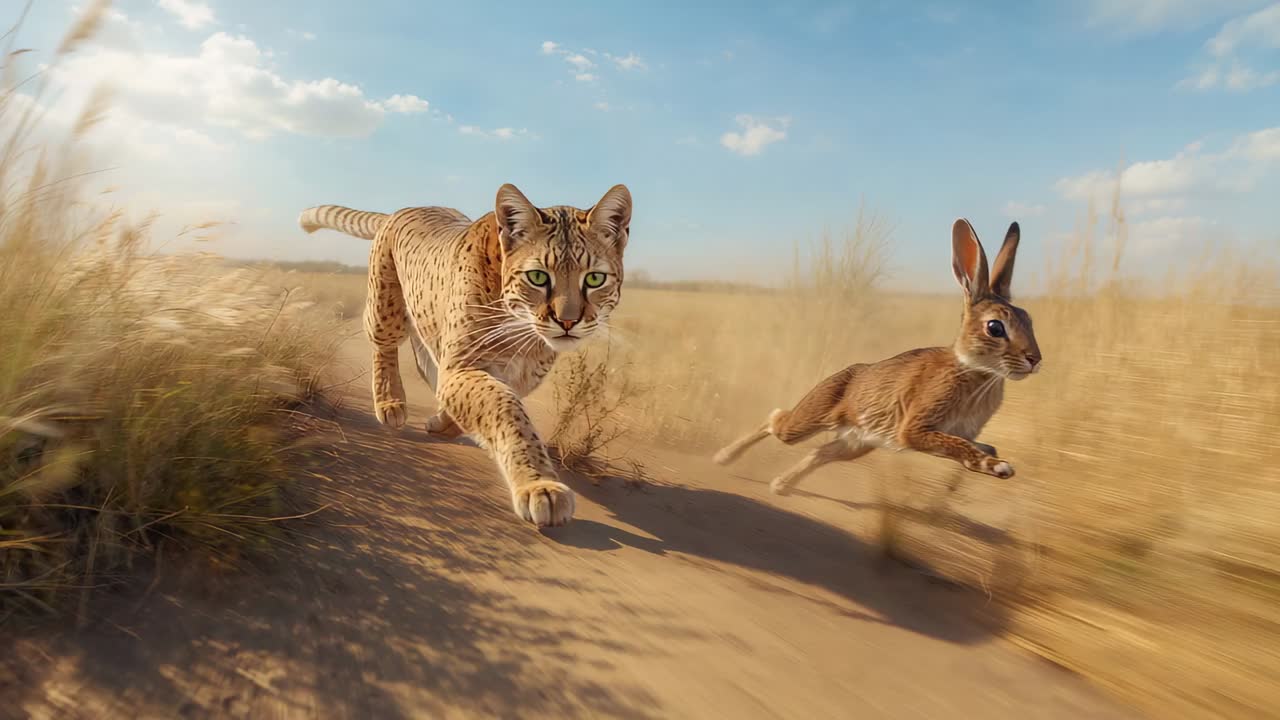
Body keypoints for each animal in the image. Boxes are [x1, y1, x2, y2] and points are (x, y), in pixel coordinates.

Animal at [712, 218, 1042, 496]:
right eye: (995, 327)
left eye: (1029, 320)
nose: (1034, 359)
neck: (972, 370)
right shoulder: (914, 429)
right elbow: (957, 445)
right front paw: (998, 467)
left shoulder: (960, 433)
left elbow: (978, 445)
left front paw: (988, 462)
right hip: (807, 423)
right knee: (775, 421)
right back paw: (723, 458)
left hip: (856, 444)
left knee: (819, 452)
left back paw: (780, 485)